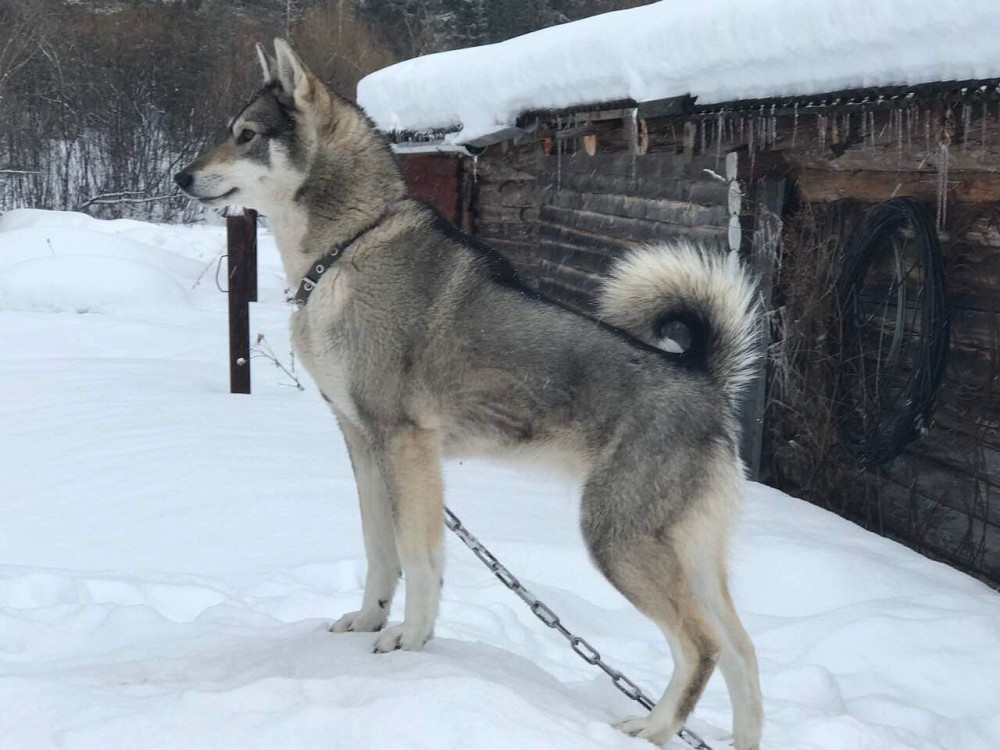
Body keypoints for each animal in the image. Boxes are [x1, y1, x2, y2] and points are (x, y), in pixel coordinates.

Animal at [174, 39, 764, 750]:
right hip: (689, 554)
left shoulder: (405, 446)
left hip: (616, 539)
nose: (180, 178)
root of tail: (705, 381)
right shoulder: (362, 443)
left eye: (247, 135)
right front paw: (371, 621)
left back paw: (650, 727)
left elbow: (418, 556)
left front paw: (409, 642)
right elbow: (380, 551)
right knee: (743, 652)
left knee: (702, 646)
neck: (344, 251)